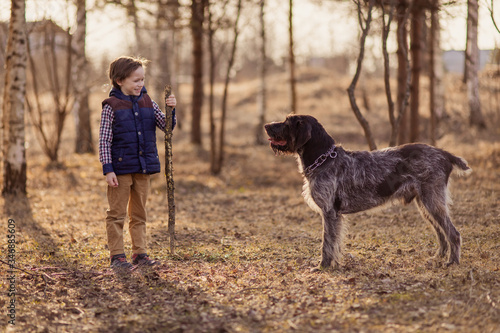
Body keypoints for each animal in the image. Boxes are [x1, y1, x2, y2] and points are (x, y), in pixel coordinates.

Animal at [266, 114, 472, 270]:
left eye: (287, 122)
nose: (266, 125)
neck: (323, 159)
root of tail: (444, 153)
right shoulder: (335, 216)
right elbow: (335, 242)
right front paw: (335, 264)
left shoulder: (330, 213)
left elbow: (327, 243)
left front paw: (323, 266)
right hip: (425, 205)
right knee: (441, 234)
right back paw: (438, 258)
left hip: (432, 202)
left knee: (453, 234)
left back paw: (452, 262)